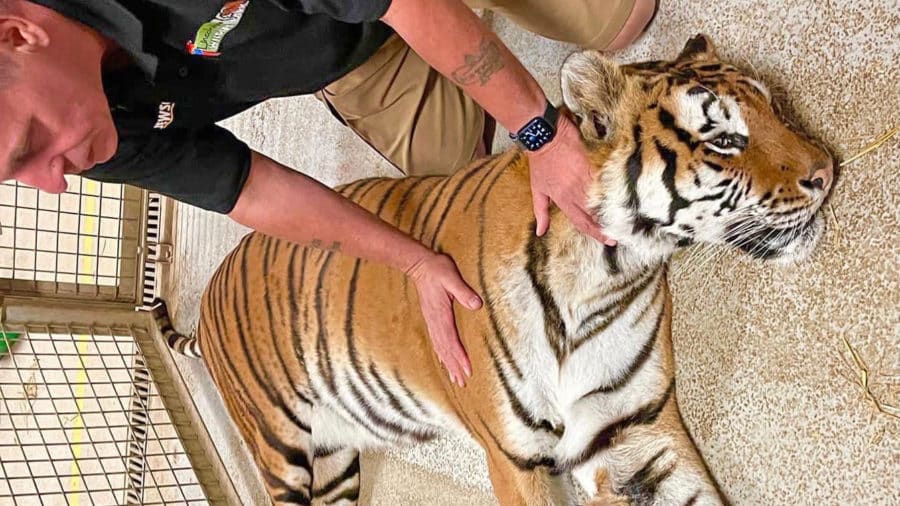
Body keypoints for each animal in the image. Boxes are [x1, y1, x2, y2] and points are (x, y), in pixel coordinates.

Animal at [153, 33, 828, 504]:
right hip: (279, 449)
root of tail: (209, 293)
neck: (605, 275)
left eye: (775, 107)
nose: (826, 172)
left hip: (337, 459)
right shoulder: (514, 456)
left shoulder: (633, 431)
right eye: (723, 139)